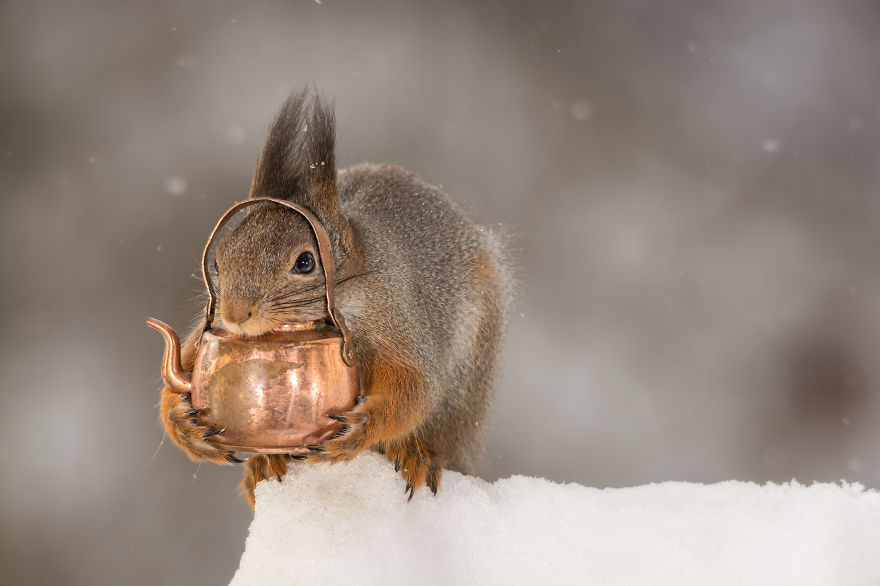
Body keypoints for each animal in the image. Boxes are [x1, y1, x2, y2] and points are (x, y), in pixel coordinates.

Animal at [158, 89, 513, 508]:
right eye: (221, 256)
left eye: (305, 262)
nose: (234, 313)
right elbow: (179, 368)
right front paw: (182, 424)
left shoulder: (396, 319)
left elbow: (413, 387)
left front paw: (359, 428)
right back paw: (265, 463)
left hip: (465, 385)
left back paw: (417, 454)